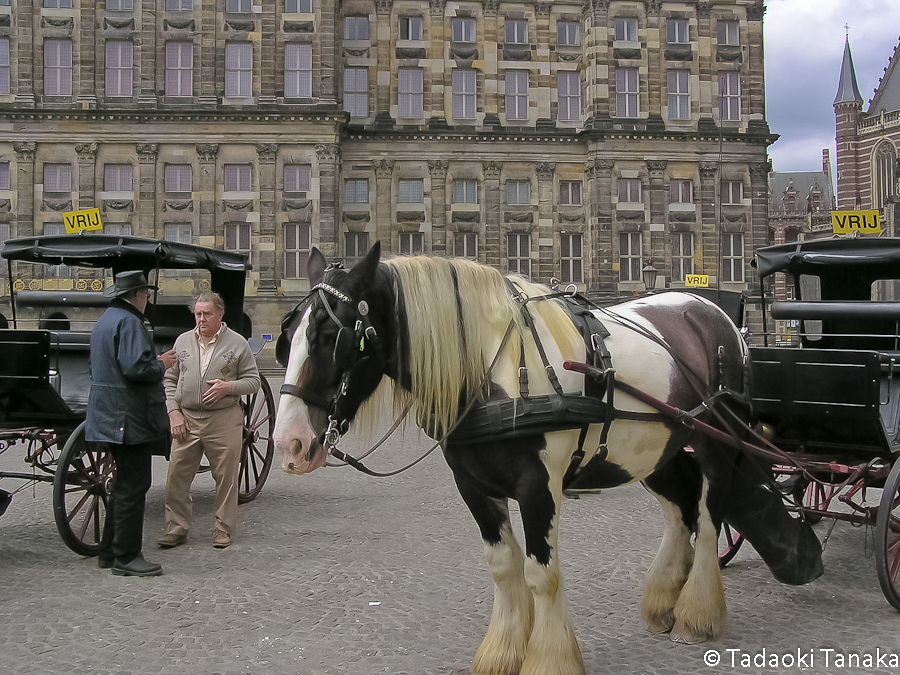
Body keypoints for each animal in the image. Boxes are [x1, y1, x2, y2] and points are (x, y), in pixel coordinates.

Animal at [274, 246, 824, 675]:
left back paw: (696, 614)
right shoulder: (473, 487)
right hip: (654, 448)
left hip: (717, 440)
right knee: (680, 509)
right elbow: (503, 568)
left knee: (710, 515)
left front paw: (550, 659)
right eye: (286, 338)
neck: (492, 368)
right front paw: (501, 654)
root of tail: (710, 309)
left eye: (331, 336)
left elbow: (542, 575)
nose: (288, 443)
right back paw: (664, 599)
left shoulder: (539, 487)